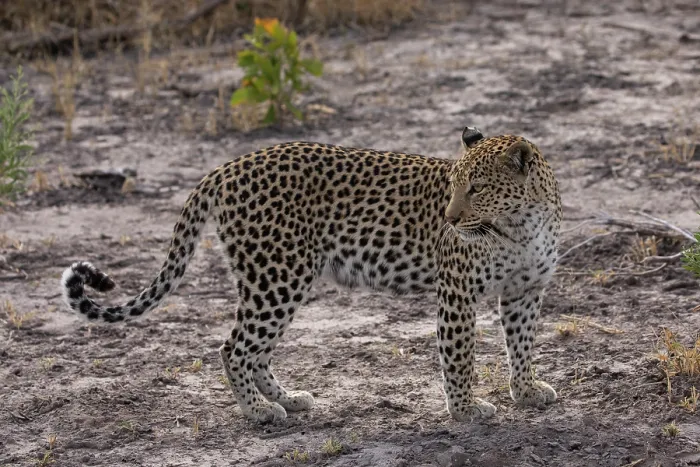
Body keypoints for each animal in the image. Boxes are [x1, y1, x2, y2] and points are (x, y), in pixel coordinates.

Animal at [61, 127, 562, 423]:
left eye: (476, 188)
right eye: (454, 186)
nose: (449, 218)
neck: (520, 225)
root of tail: (225, 167)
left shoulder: (526, 291)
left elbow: (522, 345)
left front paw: (525, 390)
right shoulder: (457, 291)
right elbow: (459, 356)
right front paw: (465, 409)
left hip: (275, 280)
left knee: (255, 351)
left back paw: (287, 399)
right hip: (277, 276)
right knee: (233, 348)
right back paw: (260, 412)